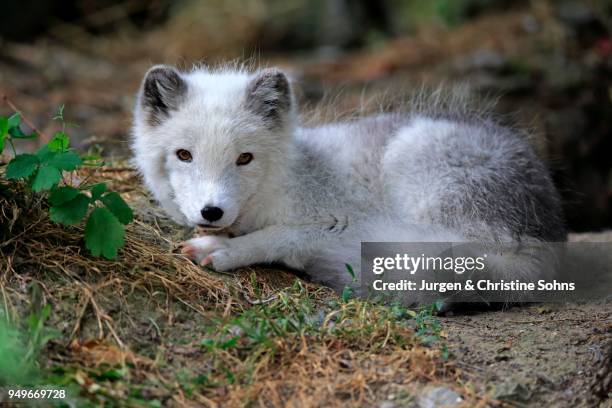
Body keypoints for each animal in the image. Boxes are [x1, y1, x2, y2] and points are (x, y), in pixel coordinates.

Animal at [131, 63, 568, 294]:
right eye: (184, 155)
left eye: (244, 158)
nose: (211, 212)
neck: (289, 177)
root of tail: (549, 236)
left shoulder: (340, 221)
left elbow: (281, 236)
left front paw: (224, 249)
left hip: (413, 156)